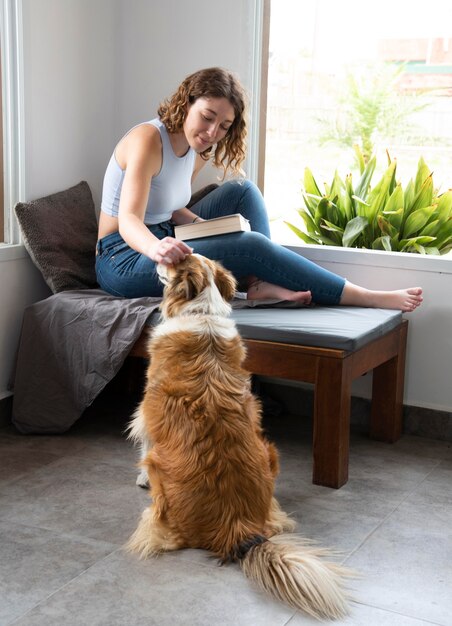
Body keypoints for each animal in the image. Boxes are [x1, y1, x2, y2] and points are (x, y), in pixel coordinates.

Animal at [127, 251, 354, 616]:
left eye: (174, 262)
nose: (158, 257)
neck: (202, 311)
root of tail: (239, 529)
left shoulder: (147, 412)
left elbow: (143, 443)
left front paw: (139, 480)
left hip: (162, 475)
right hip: (269, 451)